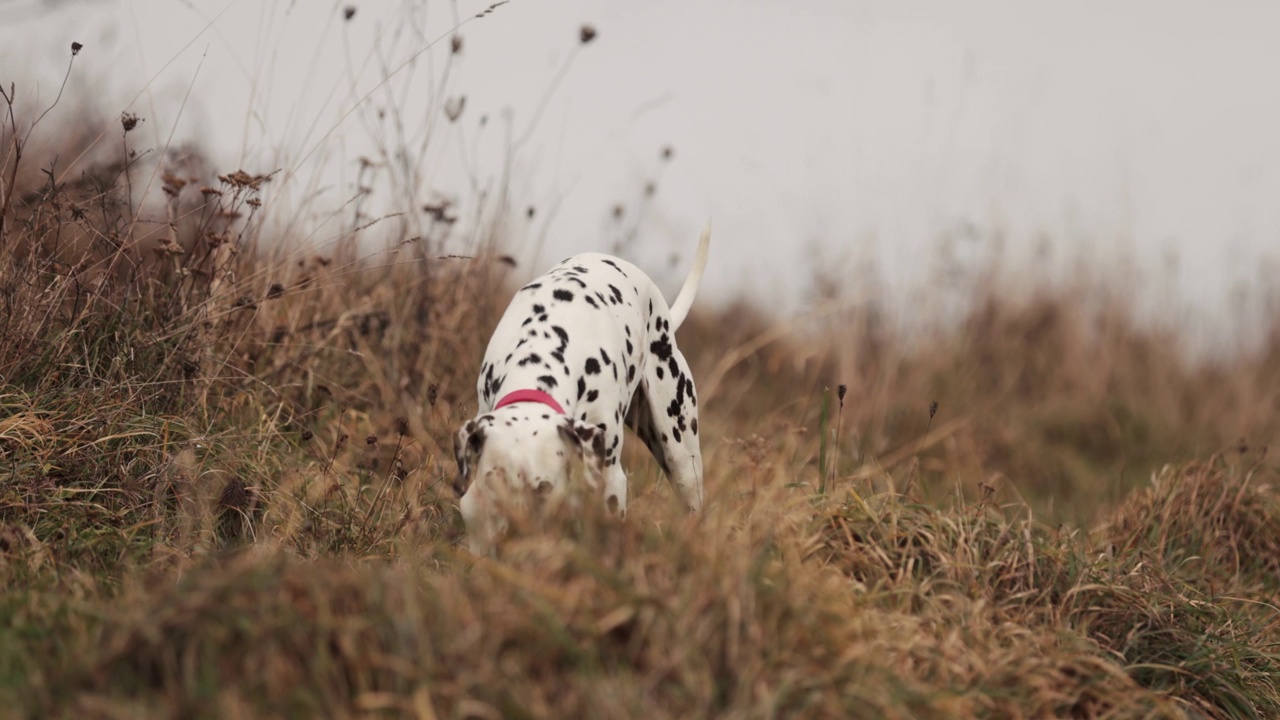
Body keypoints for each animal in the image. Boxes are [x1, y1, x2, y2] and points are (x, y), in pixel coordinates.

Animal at [453, 226, 716, 550]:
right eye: (493, 479)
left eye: (543, 487)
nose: (512, 534)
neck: (542, 349)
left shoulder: (610, 481)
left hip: (680, 456)